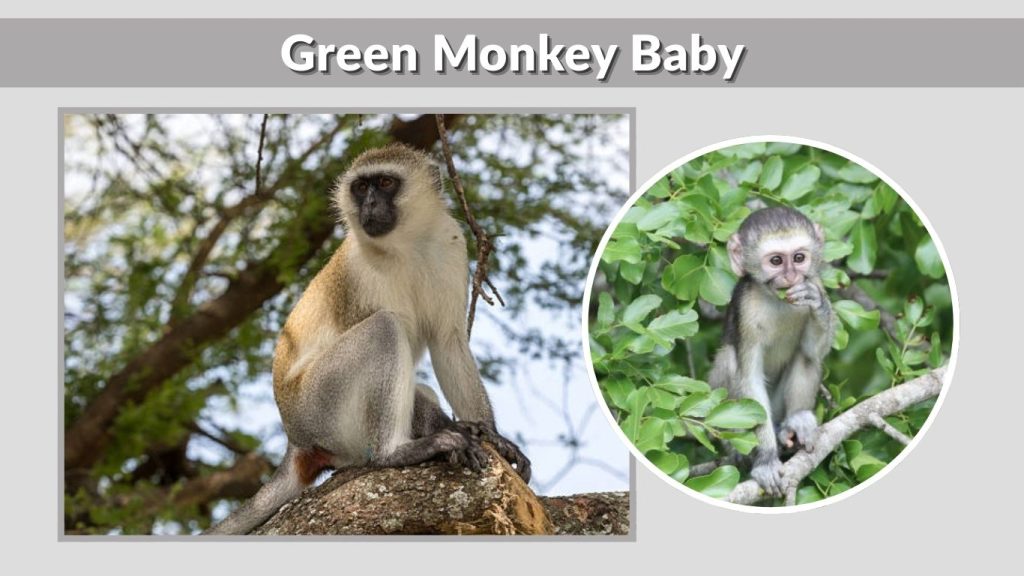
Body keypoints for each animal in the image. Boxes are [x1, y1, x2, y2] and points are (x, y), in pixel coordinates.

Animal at [204, 143, 530, 535]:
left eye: (385, 183)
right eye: (361, 188)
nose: (369, 204)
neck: (407, 245)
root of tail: (295, 439)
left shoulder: (451, 244)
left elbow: (448, 341)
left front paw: (488, 432)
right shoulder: (360, 271)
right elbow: (396, 331)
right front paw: (452, 430)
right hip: (319, 405)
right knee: (384, 329)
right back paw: (397, 452)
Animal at [707, 206, 834, 497]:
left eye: (799, 258)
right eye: (776, 261)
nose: (791, 277)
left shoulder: (815, 282)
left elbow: (813, 351)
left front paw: (817, 305)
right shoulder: (745, 307)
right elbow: (749, 378)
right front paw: (765, 461)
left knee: (805, 356)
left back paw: (795, 423)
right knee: (729, 360)